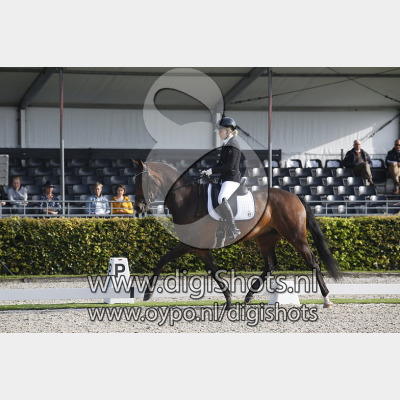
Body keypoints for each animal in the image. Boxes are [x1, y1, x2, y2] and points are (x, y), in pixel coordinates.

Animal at [133, 160, 342, 309]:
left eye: (143, 182)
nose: (138, 208)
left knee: (312, 261)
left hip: (295, 236)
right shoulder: (196, 246)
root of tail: (294, 196)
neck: (187, 200)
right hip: (266, 238)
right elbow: (202, 268)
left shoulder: (192, 244)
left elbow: (202, 268)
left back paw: (326, 299)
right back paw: (249, 296)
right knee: (271, 265)